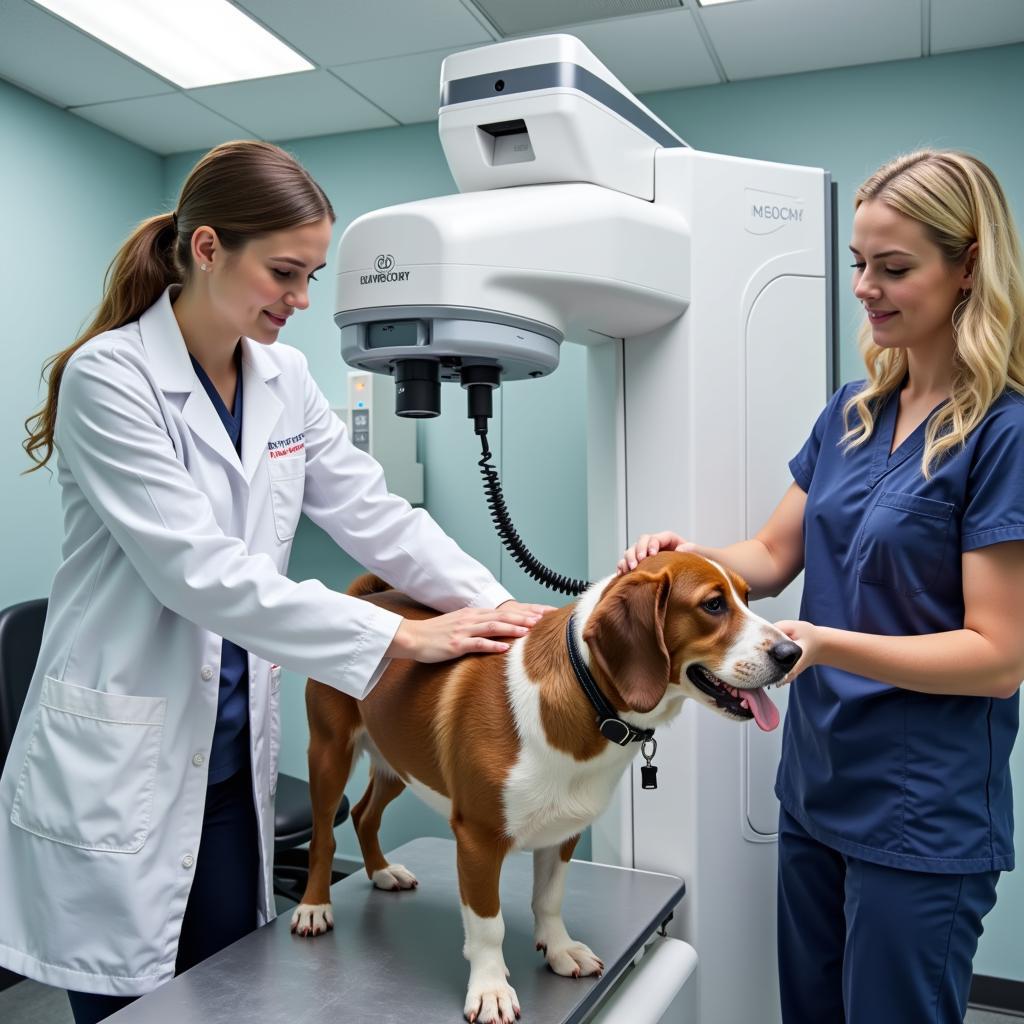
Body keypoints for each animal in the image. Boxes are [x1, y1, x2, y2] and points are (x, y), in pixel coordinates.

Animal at [292, 557, 794, 1019]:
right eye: (713, 605)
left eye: (747, 597)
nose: (791, 652)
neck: (588, 695)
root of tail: (369, 597)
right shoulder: (476, 839)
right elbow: (487, 926)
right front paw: (490, 988)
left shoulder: (565, 830)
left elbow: (549, 899)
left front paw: (559, 949)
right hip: (330, 754)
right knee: (324, 835)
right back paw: (315, 906)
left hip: (395, 762)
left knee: (364, 814)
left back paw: (381, 871)